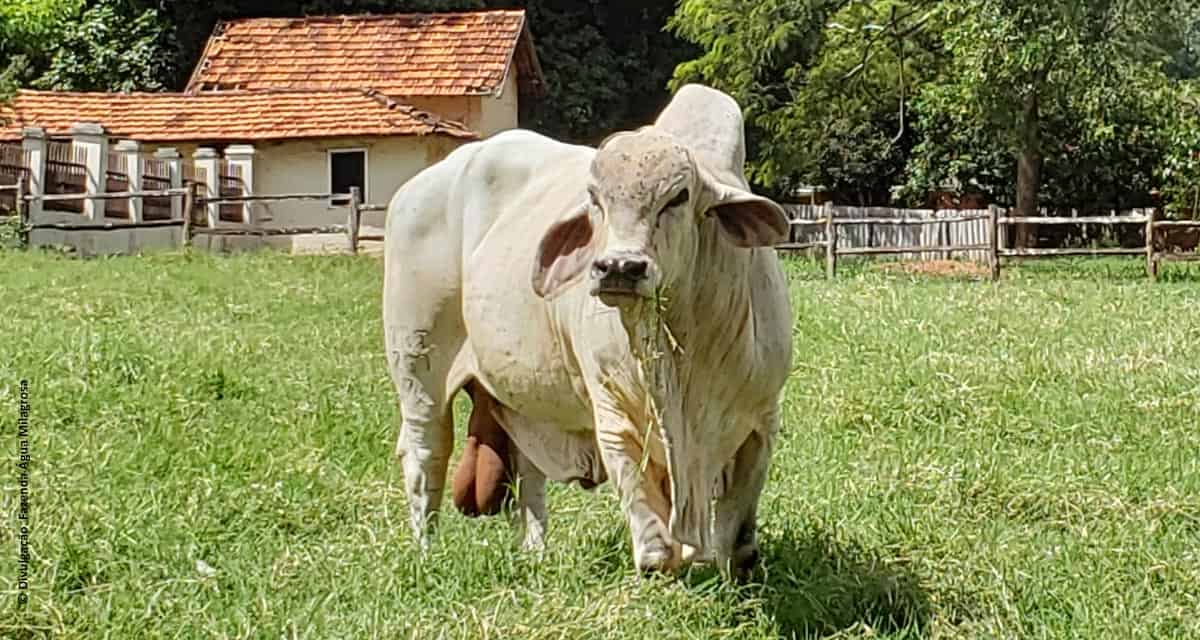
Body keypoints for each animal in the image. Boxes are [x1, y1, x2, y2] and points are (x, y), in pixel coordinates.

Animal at [386, 83, 796, 573]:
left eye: (678, 197)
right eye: (596, 200)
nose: (619, 267)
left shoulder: (762, 420)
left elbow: (737, 537)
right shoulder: (615, 417)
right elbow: (655, 543)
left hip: (521, 396)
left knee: (527, 474)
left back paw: (536, 554)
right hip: (417, 369)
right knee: (425, 457)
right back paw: (425, 552)